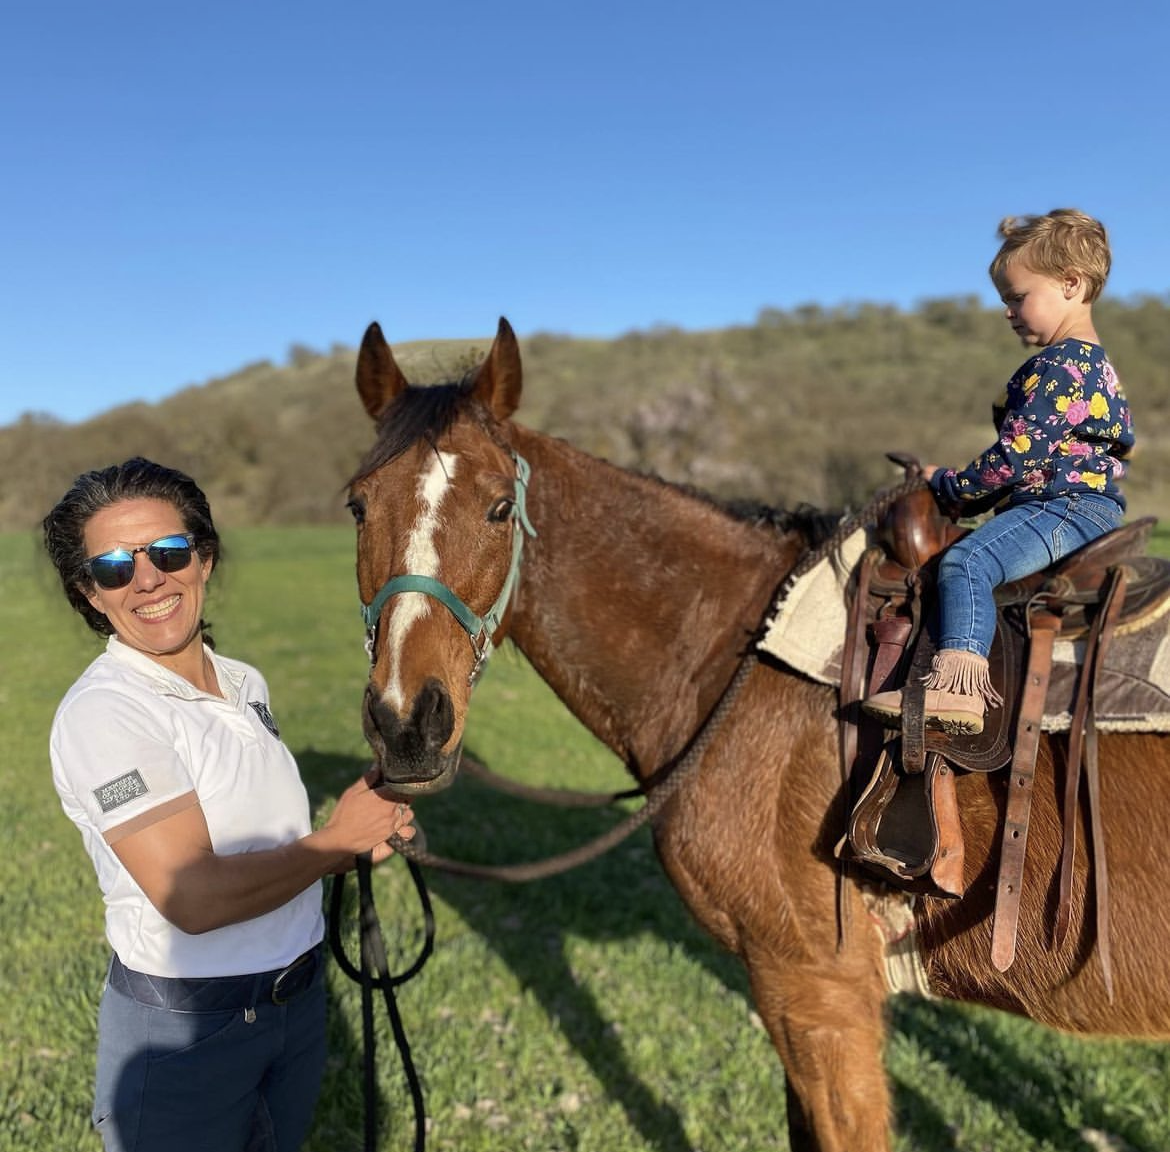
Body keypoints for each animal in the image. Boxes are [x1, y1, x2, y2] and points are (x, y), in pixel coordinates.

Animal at [344, 317, 1170, 1152]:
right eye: (357, 507)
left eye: (496, 510)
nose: (408, 723)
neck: (729, 652)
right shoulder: (785, 989)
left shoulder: (816, 987)